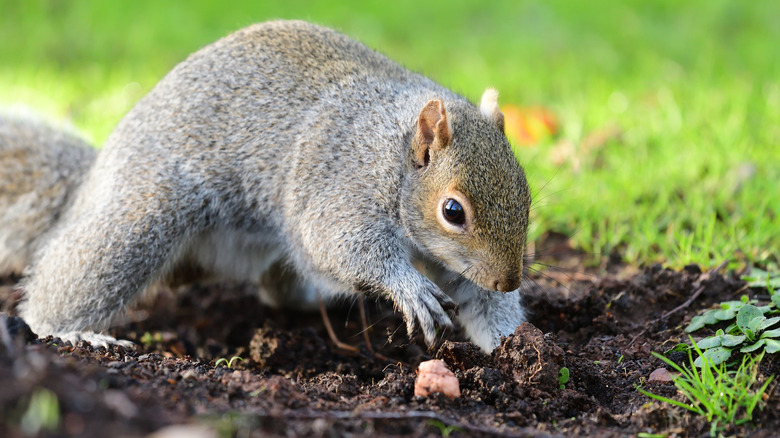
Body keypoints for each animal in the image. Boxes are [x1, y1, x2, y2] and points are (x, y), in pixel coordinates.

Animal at [6, 21, 532, 356]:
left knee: (279, 287)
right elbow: (340, 243)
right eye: (452, 211)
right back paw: (68, 333)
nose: (509, 280)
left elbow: (479, 300)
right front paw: (409, 288)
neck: (393, 154)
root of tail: (94, 178)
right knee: (74, 276)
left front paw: (514, 345)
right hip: (146, 212)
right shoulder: (342, 182)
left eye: (526, 193)